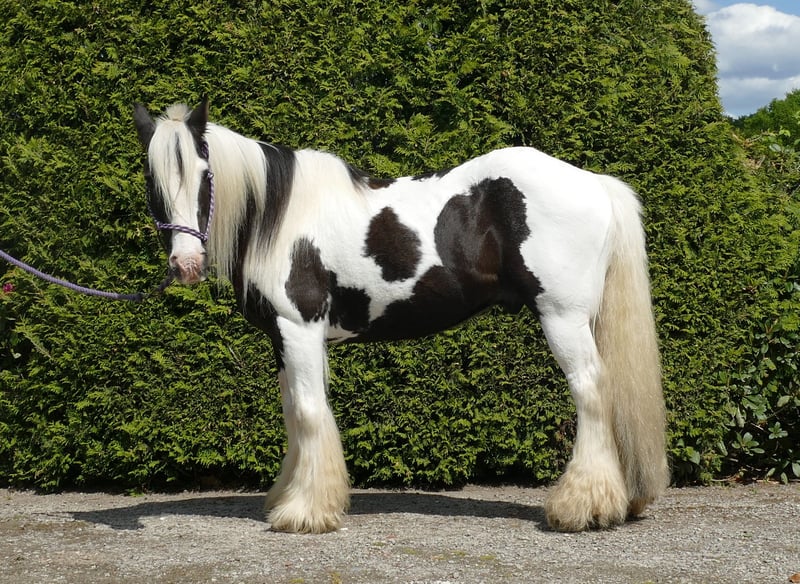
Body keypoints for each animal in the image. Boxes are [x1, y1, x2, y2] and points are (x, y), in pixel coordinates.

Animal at [133, 99, 668, 534]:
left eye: (204, 174)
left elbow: (308, 411)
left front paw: (305, 512)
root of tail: (594, 183)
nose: (185, 265)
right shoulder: (283, 340)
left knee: (590, 390)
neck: (278, 218)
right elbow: (293, 412)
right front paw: (289, 496)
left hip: (563, 318)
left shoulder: (299, 328)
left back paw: (582, 507)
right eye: (152, 181)